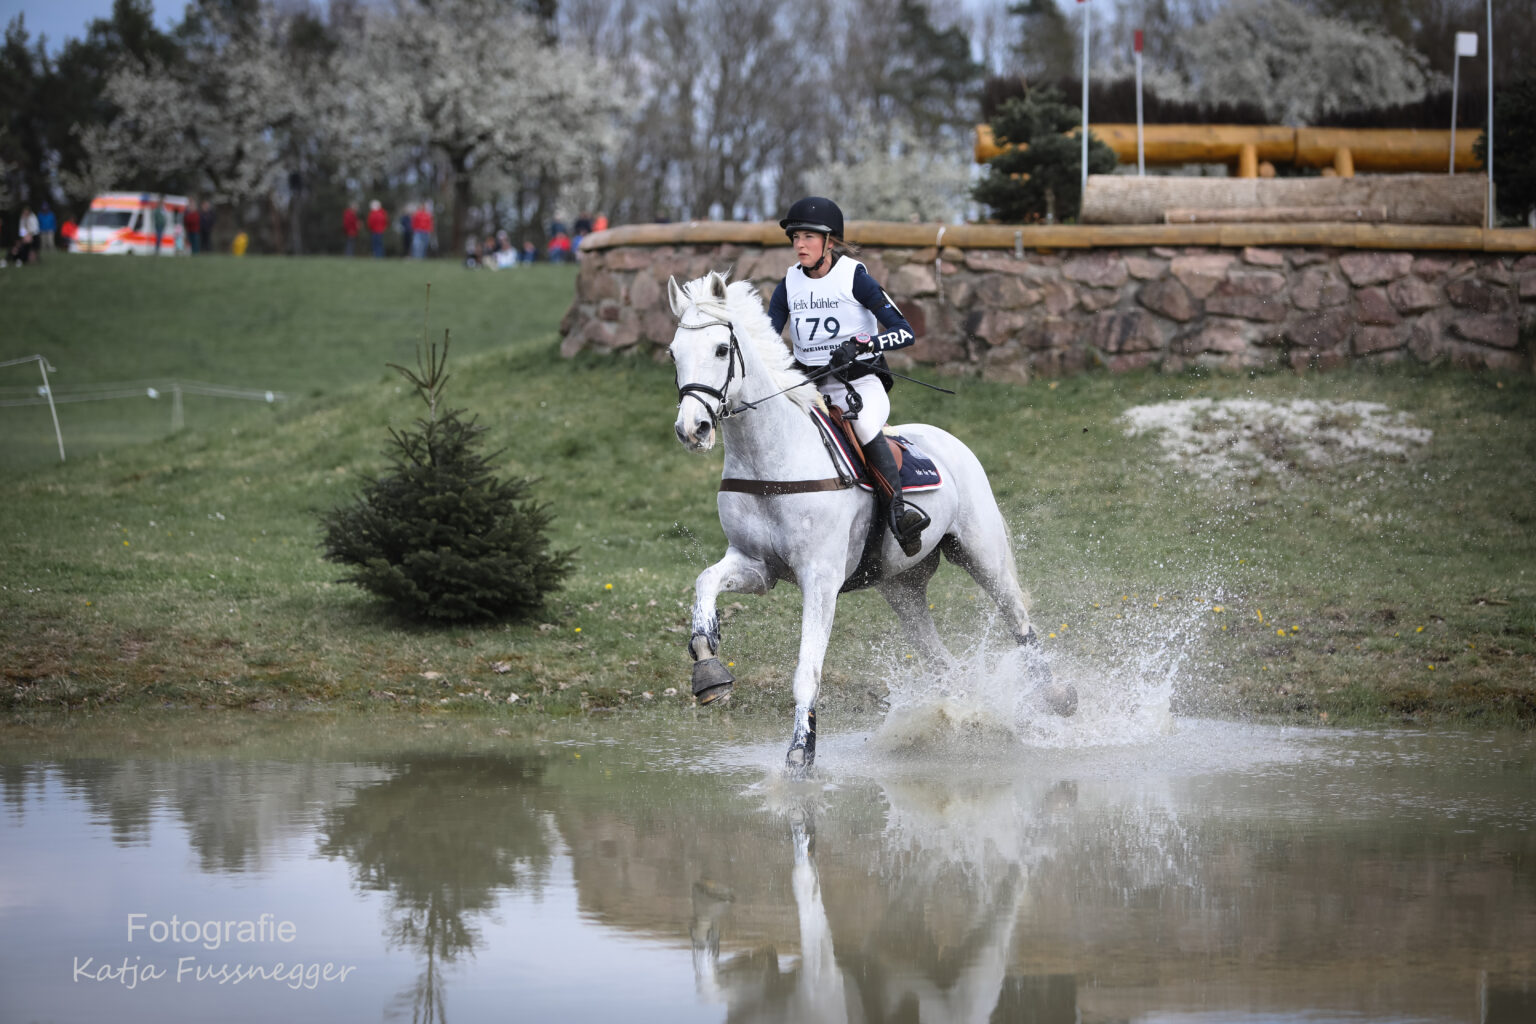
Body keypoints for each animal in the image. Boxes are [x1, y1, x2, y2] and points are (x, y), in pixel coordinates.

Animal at [666, 271, 1075, 767]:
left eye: (722, 350)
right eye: (673, 353)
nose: (692, 430)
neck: (771, 462)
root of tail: (948, 440)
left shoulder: (820, 579)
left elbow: (808, 670)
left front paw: (801, 752)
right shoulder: (756, 566)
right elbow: (705, 582)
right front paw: (708, 667)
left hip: (980, 553)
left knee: (1018, 618)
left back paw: (1054, 696)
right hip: (902, 585)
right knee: (942, 661)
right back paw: (957, 720)